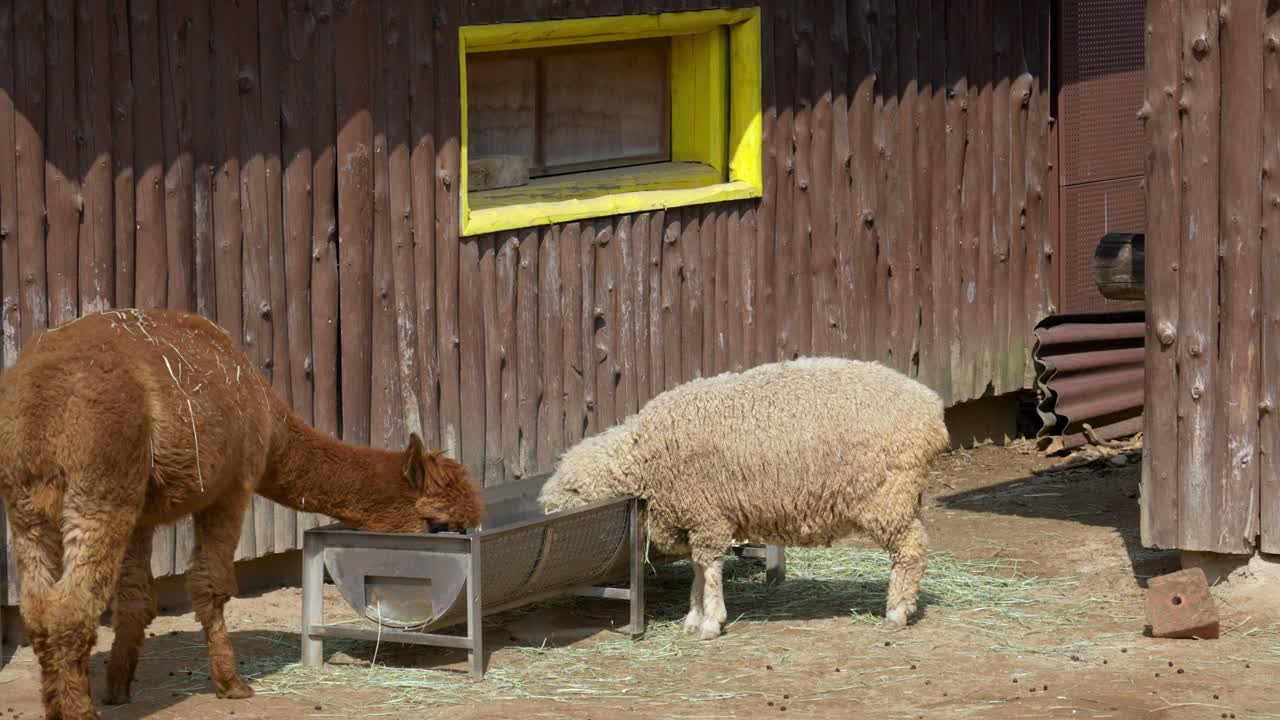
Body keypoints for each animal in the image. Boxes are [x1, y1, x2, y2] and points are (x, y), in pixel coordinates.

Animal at [539, 356, 950, 640]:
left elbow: (709, 569)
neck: (648, 458)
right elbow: (697, 569)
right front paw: (693, 616)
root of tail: (931, 407)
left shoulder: (707, 515)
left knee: (910, 551)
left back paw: (896, 612)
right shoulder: (694, 518)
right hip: (904, 498)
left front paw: (710, 621)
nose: (548, 517)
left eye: (574, 491)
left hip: (889, 496)